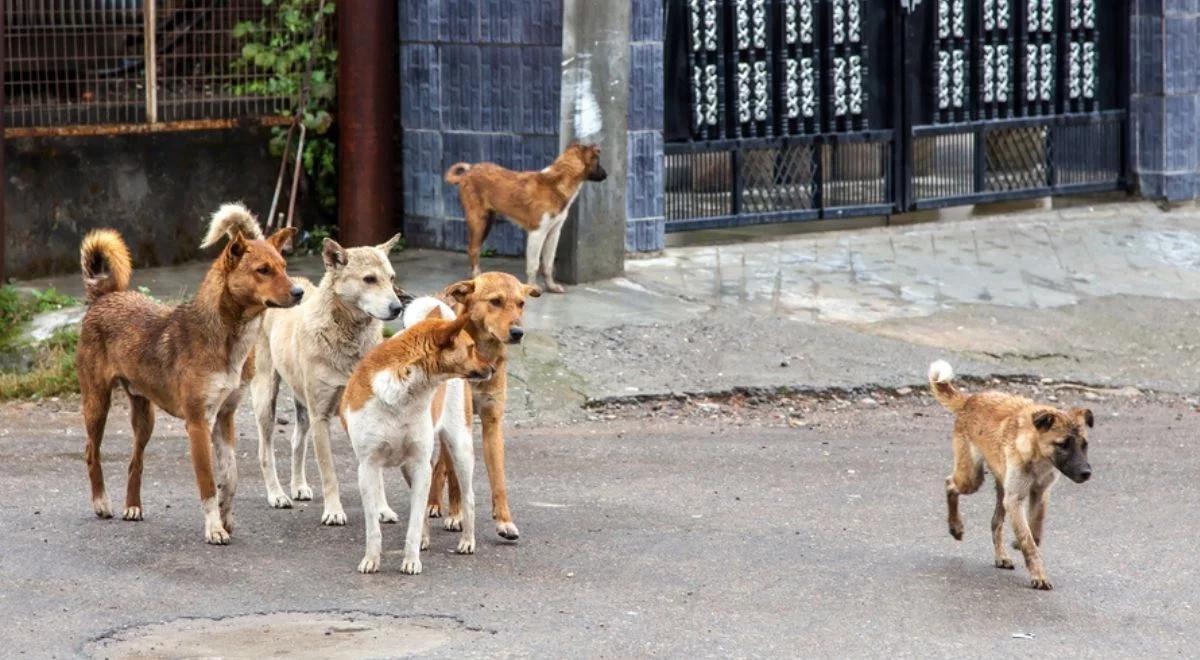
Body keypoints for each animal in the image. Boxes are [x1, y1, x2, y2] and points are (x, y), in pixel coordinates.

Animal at [78, 204, 300, 544]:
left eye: (284, 267)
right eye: (263, 270)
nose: (300, 292)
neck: (227, 338)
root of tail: (104, 296)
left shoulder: (225, 418)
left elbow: (231, 476)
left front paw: (226, 517)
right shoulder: (198, 424)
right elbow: (208, 483)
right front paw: (214, 528)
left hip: (144, 418)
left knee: (135, 461)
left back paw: (133, 507)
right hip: (97, 404)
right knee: (92, 452)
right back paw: (102, 503)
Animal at [249, 235, 408, 525]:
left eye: (391, 278)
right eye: (369, 279)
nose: (398, 308)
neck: (348, 334)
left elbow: (376, 473)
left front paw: (381, 509)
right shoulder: (320, 417)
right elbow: (328, 472)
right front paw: (334, 511)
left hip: (302, 407)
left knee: (297, 442)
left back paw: (298, 486)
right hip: (266, 398)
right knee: (265, 452)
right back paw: (277, 494)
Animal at [340, 312, 494, 576]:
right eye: (472, 348)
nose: (492, 368)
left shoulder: (422, 465)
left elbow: (413, 523)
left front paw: (411, 561)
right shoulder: (368, 467)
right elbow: (374, 526)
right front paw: (371, 559)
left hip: (460, 451)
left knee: (469, 498)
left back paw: (467, 541)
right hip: (408, 468)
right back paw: (426, 539)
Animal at [444, 143, 604, 294]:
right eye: (597, 160)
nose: (606, 175)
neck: (556, 184)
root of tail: (468, 172)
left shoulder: (553, 233)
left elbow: (548, 263)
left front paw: (551, 286)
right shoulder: (537, 233)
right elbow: (534, 264)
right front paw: (533, 286)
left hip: (488, 221)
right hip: (478, 220)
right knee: (473, 249)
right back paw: (477, 276)